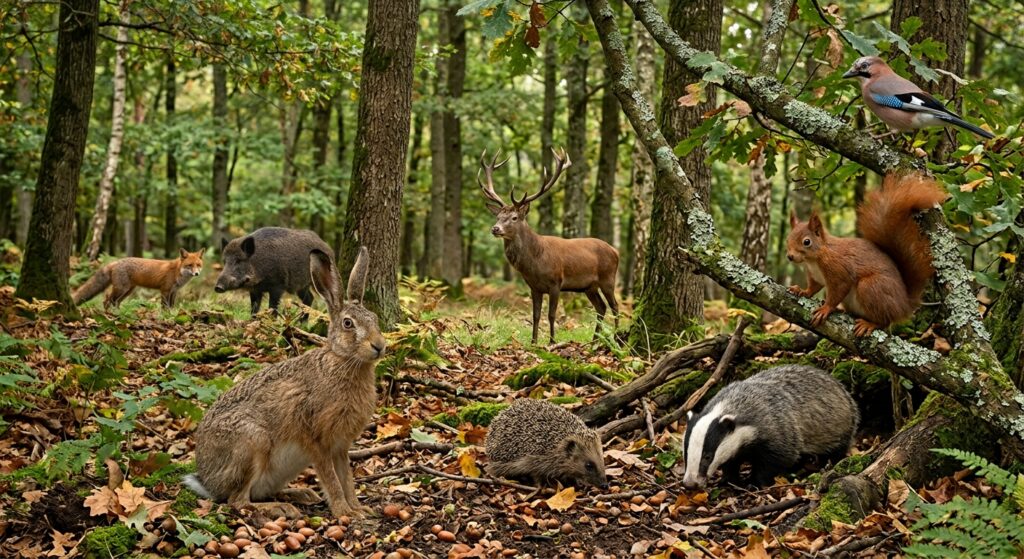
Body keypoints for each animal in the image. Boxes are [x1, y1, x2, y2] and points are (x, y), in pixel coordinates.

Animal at [72, 248, 206, 309]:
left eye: (198, 265)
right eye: (190, 265)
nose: (196, 274)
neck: (178, 272)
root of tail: (116, 262)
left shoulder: (174, 291)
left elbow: (171, 306)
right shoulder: (165, 290)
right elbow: (164, 306)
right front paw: (165, 317)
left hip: (128, 291)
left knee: (115, 302)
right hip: (121, 289)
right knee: (107, 300)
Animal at [478, 148, 620, 344]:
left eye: (514, 217)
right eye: (498, 216)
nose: (495, 228)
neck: (535, 262)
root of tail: (615, 251)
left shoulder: (556, 283)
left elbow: (551, 315)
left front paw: (552, 342)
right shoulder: (534, 287)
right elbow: (536, 315)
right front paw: (533, 342)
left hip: (608, 278)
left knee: (615, 306)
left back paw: (616, 338)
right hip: (589, 286)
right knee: (601, 307)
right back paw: (594, 340)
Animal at [786, 173, 947, 336]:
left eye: (807, 242)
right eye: (788, 239)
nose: (790, 256)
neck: (814, 260)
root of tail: (904, 305)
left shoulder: (838, 270)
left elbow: (838, 290)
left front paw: (826, 308)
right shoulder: (814, 275)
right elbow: (814, 287)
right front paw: (802, 291)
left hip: (871, 287)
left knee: (885, 321)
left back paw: (869, 324)